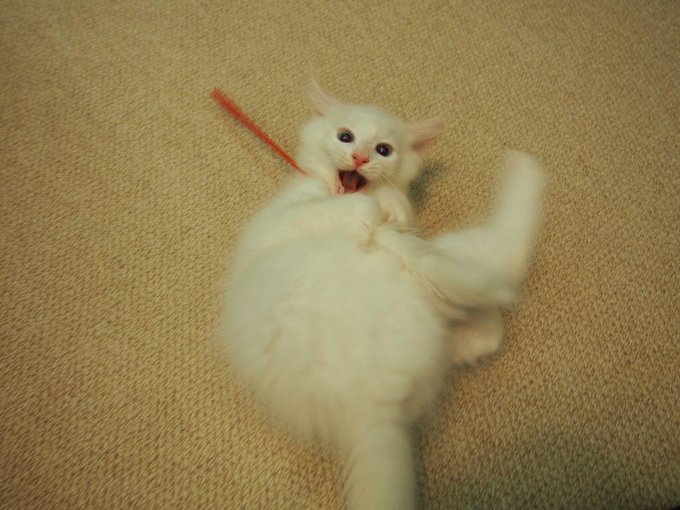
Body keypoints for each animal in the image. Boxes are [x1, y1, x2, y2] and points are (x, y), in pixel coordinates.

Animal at [219, 80, 544, 510]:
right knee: (497, 269)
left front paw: (388, 205)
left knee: (488, 297)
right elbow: (342, 208)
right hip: (434, 267)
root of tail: (374, 405)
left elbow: (389, 205)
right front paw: (370, 210)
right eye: (345, 136)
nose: (359, 157)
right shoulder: (283, 220)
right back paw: (523, 175)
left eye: (383, 150)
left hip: (435, 267)